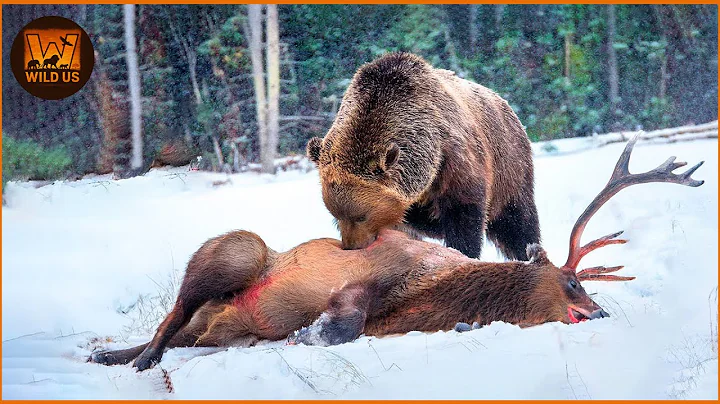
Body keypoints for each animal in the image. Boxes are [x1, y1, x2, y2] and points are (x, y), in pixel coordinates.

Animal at [306, 52, 540, 260]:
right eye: (335, 214)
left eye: (362, 215)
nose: (352, 246)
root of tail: (504, 103)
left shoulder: (454, 161)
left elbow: (464, 213)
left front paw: (462, 251)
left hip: (509, 169)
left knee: (517, 223)